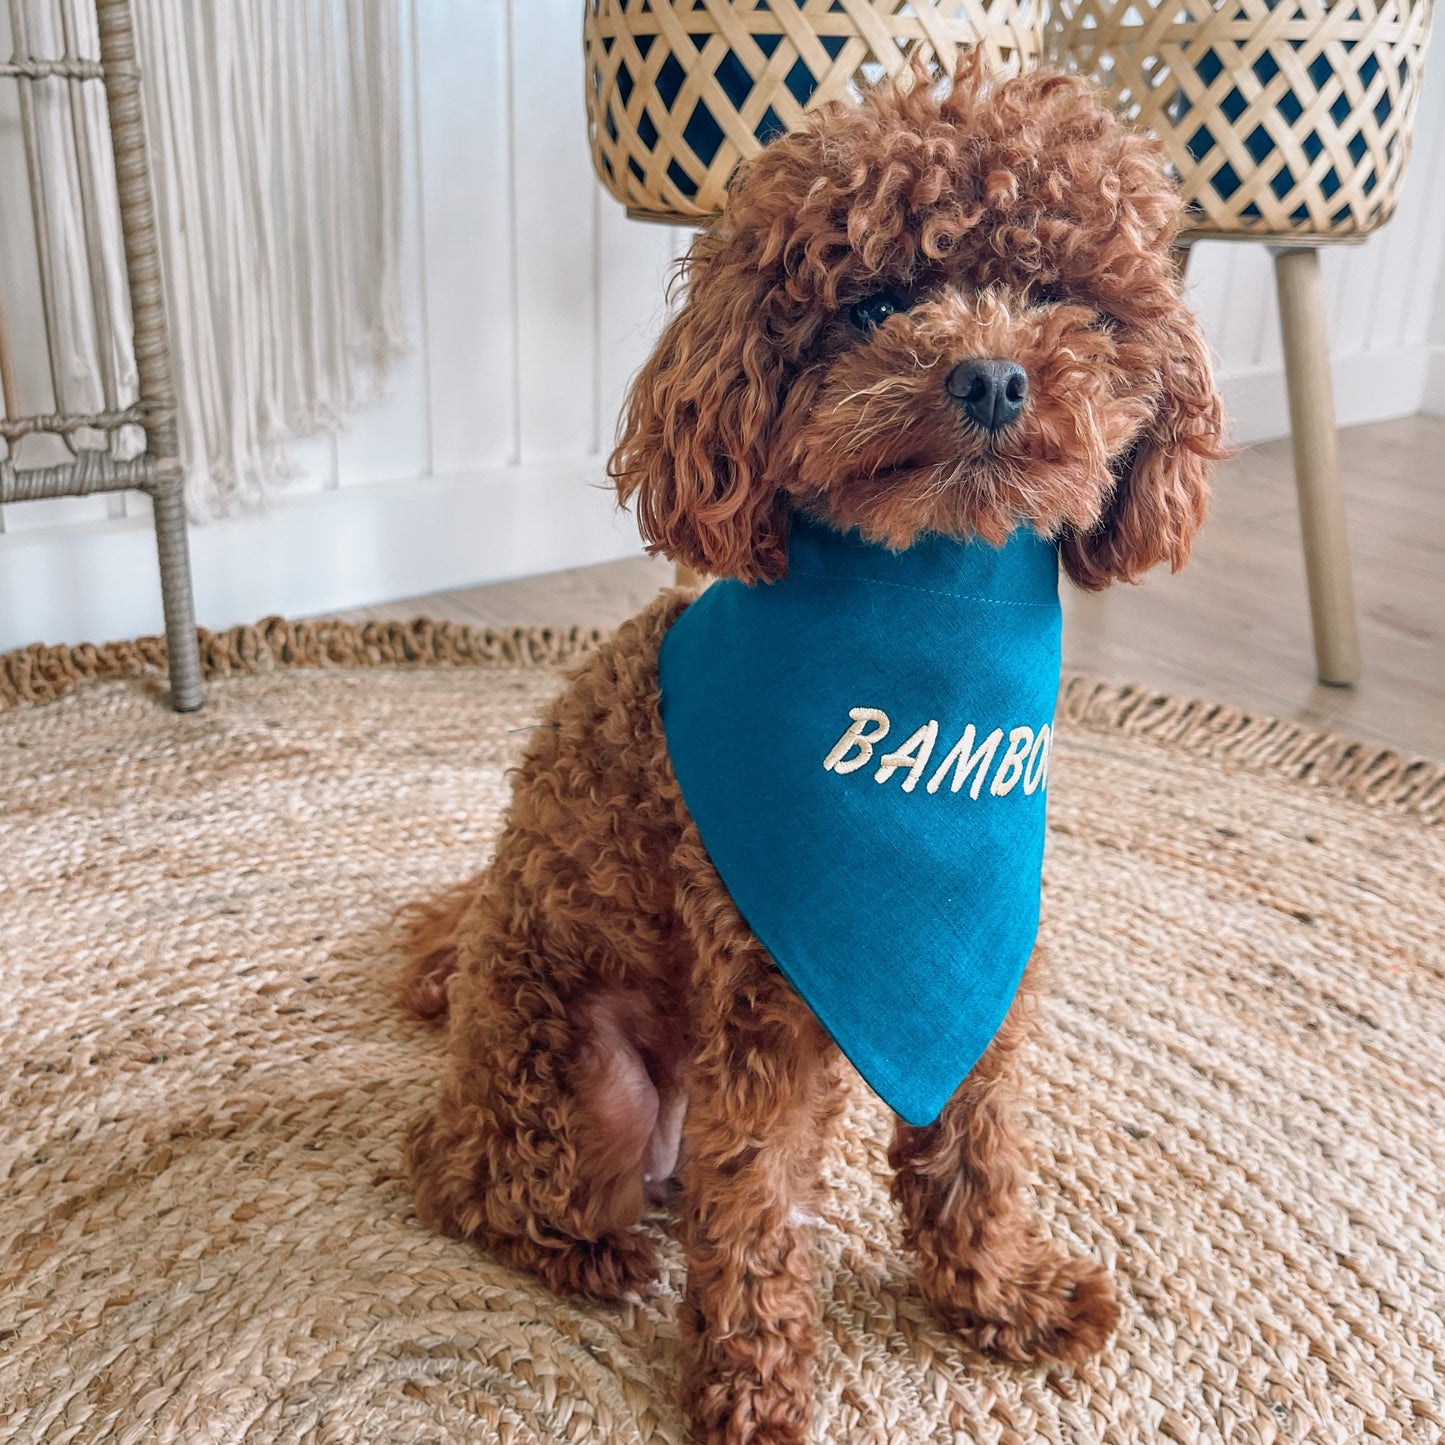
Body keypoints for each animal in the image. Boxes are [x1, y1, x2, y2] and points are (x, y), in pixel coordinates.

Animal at [401, 56, 1225, 1445]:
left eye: (1063, 297)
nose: (991, 377)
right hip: (585, 1084)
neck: (923, 604)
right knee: (477, 1186)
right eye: (877, 300)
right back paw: (593, 1253)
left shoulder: (977, 976)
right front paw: (752, 1385)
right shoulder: (762, 1015)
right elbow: (756, 1214)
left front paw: (997, 1293)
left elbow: (968, 1152)